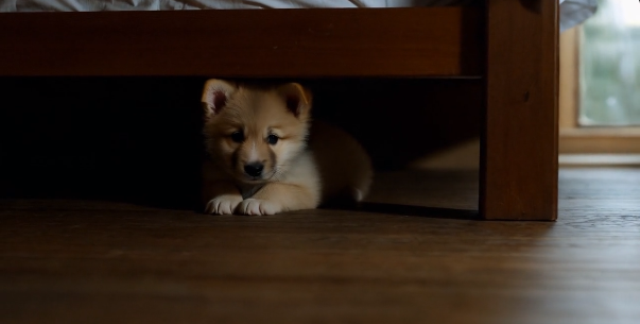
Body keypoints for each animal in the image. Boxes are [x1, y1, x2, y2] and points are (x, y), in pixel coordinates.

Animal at [199, 78, 370, 215]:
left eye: (273, 138)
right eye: (236, 136)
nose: (254, 169)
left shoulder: (306, 188)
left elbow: (277, 187)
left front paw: (258, 200)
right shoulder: (209, 176)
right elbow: (221, 183)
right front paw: (224, 197)